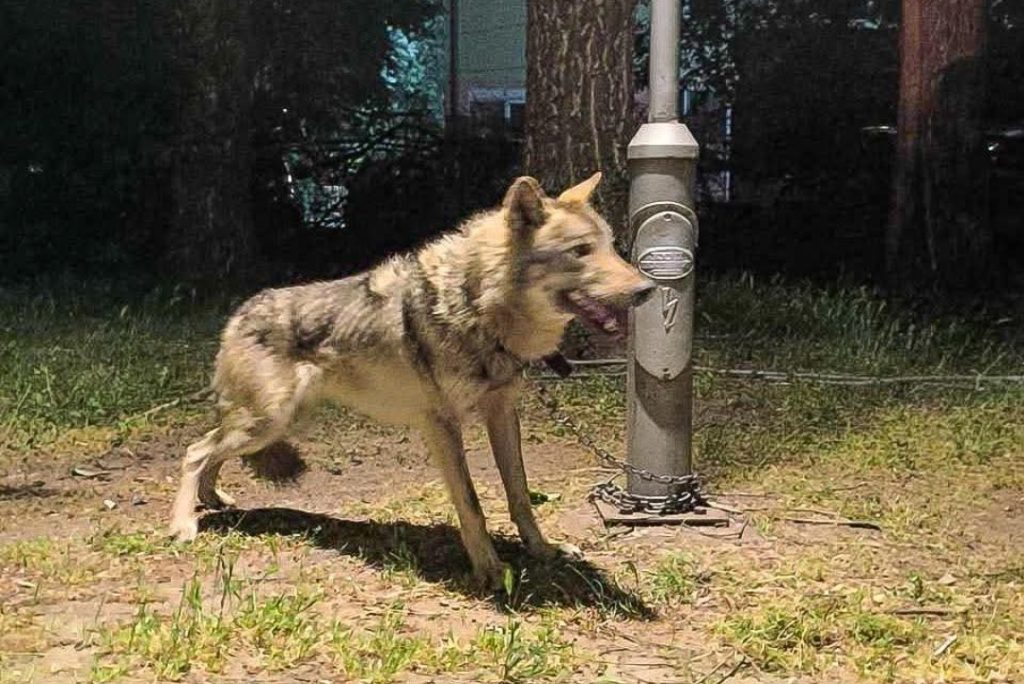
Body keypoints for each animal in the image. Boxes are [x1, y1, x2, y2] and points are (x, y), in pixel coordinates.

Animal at [169, 172, 655, 588]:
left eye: (611, 247)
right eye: (580, 251)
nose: (647, 289)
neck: (477, 308)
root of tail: (238, 313)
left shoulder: (502, 412)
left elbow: (519, 493)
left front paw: (543, 551)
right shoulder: (441, 425)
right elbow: (472, 504)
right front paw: (490, 571)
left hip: (275, 424)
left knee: (210, 450)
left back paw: (213, 500)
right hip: (268, 422)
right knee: (195, 450)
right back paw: (185, 523)